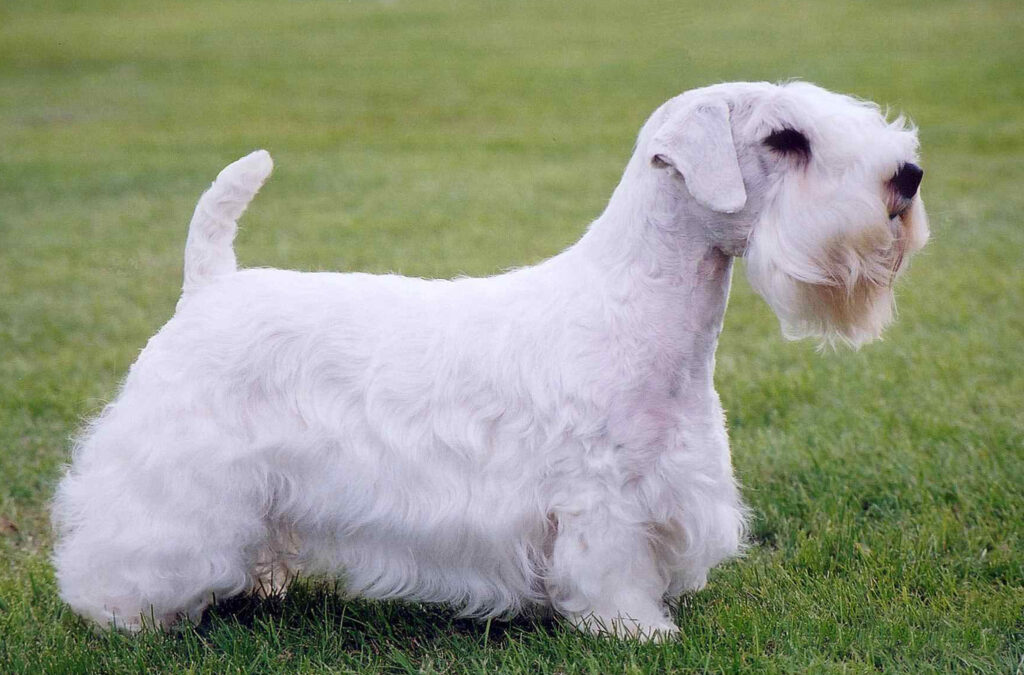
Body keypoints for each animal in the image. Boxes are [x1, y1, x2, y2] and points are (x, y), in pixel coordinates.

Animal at [49, 80, 929, 639]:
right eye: (786, 139)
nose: (909, 176)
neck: (634, 307)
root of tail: (210, 283)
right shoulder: (600, 498)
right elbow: (613, 570)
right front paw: (639, 630)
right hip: (177, 476)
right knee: (129, 541)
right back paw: (128, 615)